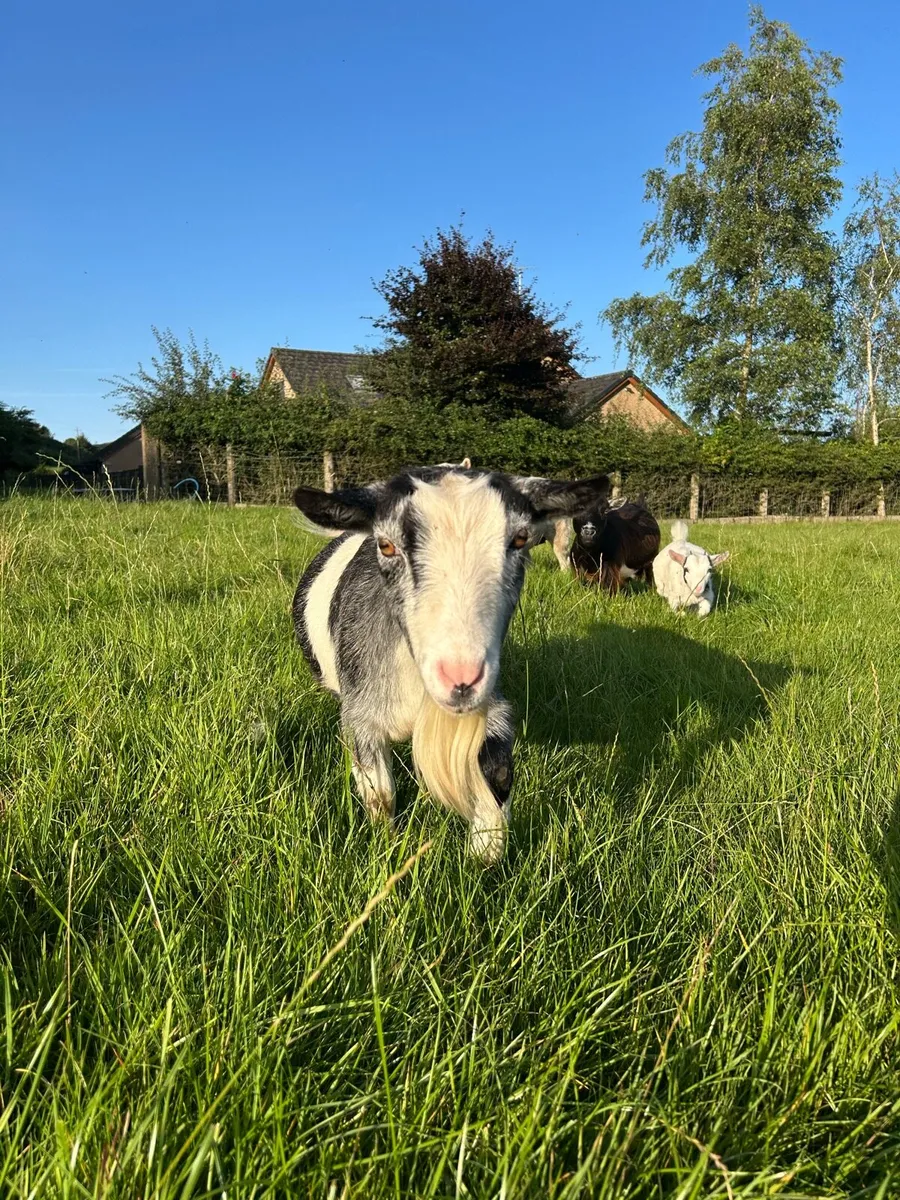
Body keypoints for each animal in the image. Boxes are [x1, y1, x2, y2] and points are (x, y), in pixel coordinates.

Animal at [292, 465, 611, 863]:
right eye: (386, 545)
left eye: (520, 539)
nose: (461, 679)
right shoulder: (359, 714)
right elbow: (380, 793)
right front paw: (387, 847)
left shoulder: (489, 702)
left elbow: (497, 770)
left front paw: (485, 854)